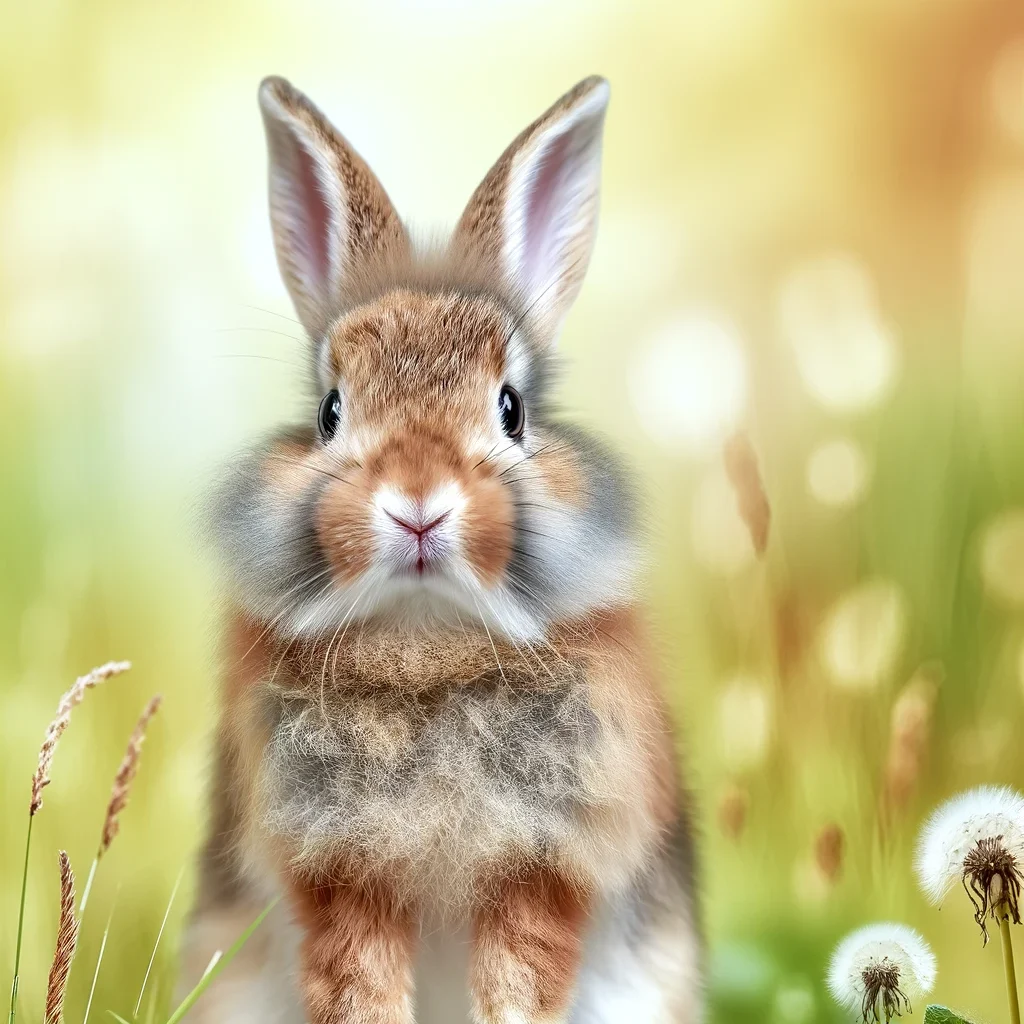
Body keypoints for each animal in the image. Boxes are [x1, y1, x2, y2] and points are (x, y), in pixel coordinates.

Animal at [179, 74, 703, 1024]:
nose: (417, 508)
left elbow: (519, 983)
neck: (425, 643)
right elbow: (360, 986)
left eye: (511, 409)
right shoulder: (341, 874)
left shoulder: (541, 873)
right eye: (330, 412)